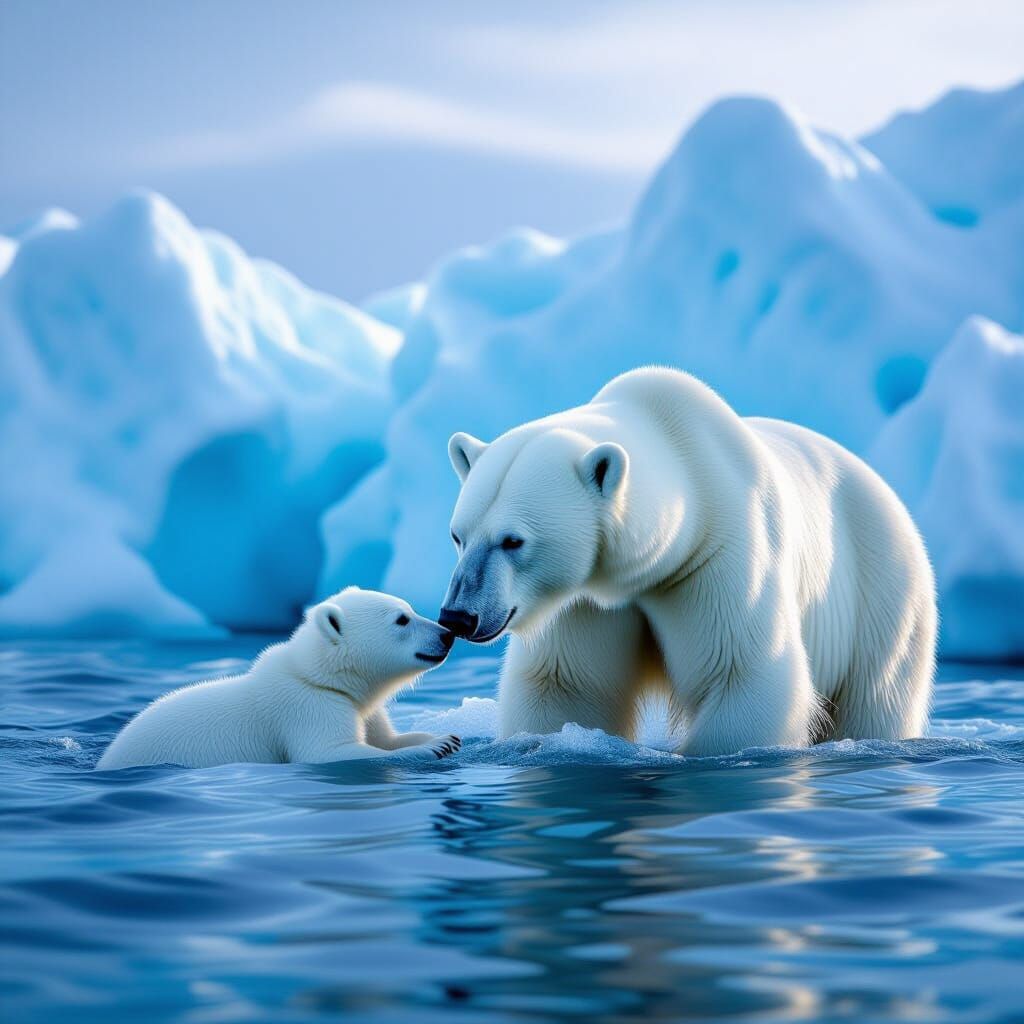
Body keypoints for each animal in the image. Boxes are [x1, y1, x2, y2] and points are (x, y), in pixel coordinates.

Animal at [97, 588, 461, 770]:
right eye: (402, 620)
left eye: (410, 609)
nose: (446, 634)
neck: (318, 676)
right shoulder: (307, 708)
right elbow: (330, 753)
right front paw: (434, 746)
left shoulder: (360, 708)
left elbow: (385, 739)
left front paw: (447, 736)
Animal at [440, 366, 936, 756]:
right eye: (458, 535)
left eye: (513, 541)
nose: (458, 616)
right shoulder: (586, 599)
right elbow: (568, 685)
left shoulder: (718, 558)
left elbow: (742, 673)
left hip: (883, 593)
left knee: (875, 698)